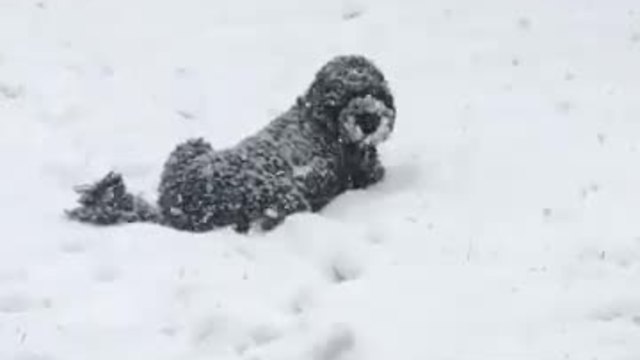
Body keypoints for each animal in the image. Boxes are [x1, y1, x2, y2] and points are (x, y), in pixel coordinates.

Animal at [65, 54, 396, 232]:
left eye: (375, 91)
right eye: (340, 97)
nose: (369, 120)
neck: (320, 120)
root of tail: (179, 205)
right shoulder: (365, 172)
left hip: (191, 145)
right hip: (286, 198)